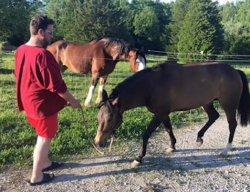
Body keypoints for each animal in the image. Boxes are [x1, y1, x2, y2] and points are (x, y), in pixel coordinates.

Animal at [94, 62, 250, 167]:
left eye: (110, 118)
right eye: (98, 117)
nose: (98, 143)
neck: (152, 84)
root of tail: (235, 71)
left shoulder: (161, 113)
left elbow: (146, 134)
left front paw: (139, 158)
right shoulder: (163, 112)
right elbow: (169, 129)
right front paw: (172, 146)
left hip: (228, 104)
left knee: (232, 124)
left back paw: (226, 150)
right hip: (206, 103)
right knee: (214, 116)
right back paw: (199, 138)